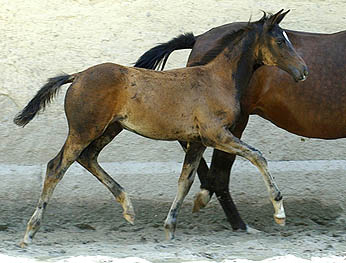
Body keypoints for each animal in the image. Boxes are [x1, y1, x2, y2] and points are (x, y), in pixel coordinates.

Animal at [14, 9, 308, 246]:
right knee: (56, 167)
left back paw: (128, 208)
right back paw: (30, 232)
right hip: (84, 130)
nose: (303, 71)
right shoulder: (216, 134)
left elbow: (185, 181)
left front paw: (170, 228)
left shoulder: (198, 140)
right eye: (280, 41)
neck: (217, 79)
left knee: (88, 158)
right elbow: (257, 155)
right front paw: (279, 213)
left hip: (109, 129)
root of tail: (76, 76)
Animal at [134, 14, 346, 231]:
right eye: (280, 41)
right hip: (236, 122)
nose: (304, 71)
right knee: (219, 172)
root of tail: (198, 38)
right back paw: (235, 219)